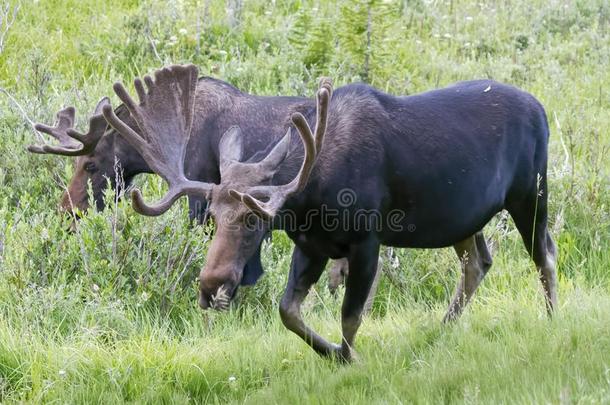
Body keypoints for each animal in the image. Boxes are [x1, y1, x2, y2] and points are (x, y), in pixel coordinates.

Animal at [101, 64, 556, 362]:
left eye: (254, 218)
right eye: (211, 214)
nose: (210, 287)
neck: (310, 198)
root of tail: (541, 108)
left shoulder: (367, 239)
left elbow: (351, 316)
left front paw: (350, 358)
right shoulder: (312, 245)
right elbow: (288, 312)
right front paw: (332, 353)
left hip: (530, 192)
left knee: (544, 254)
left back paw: (551, 319)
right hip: (464, 217)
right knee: (478, 261)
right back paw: (440, 329)